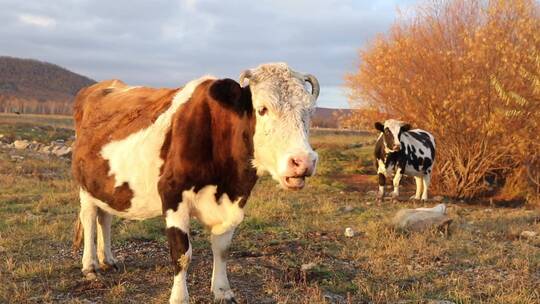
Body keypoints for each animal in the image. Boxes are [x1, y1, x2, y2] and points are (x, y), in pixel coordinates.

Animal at [70, 63, 318, 302]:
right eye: (263, 109)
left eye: (308, 111)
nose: (304, 161)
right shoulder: (173, 197)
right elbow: (182, 253)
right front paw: (179, 297)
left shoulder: (235, 202)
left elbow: (222, 248)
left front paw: (222, 291)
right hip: (84, 186)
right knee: (89, 217)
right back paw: (90, 265)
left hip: (105, 185)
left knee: (105, 217)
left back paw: (108, 260)